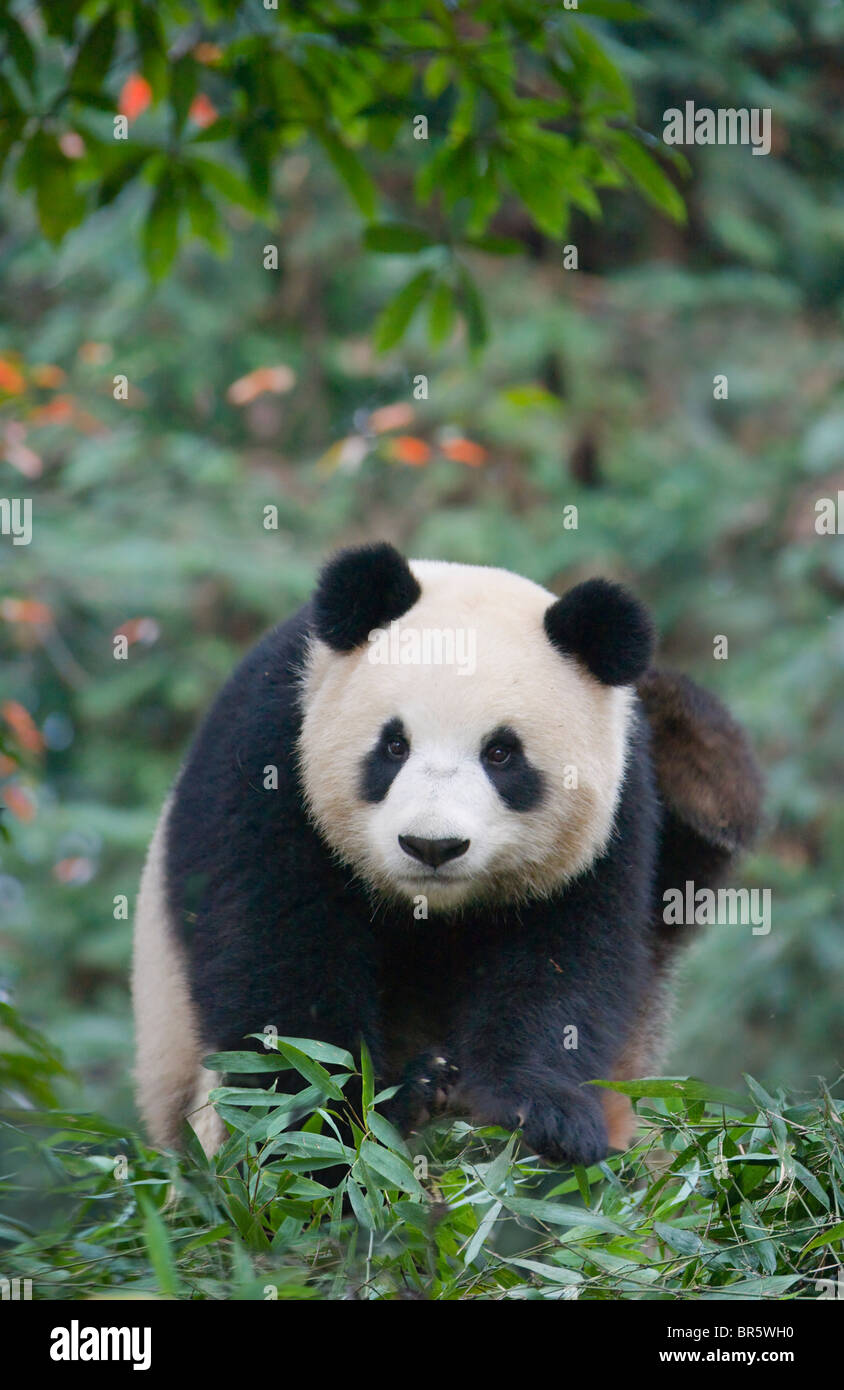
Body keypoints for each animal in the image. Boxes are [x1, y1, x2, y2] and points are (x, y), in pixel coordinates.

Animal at [133, 542, 767, 1162]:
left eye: (501, 754)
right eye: (394, 745)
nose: (431, 846)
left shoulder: (615, 815)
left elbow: (567, 961)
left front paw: (543, 1113)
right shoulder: (269, 749)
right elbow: (279, 961)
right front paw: (345, 1121)